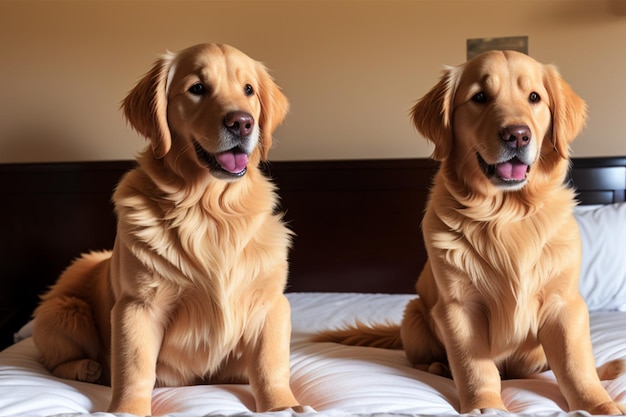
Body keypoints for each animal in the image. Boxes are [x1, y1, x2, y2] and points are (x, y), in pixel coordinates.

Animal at [32, 44, 302, 414]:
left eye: (248, 90)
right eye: (198, 88)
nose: (242, 122)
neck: (209, 211)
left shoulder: (270, 304)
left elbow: (269, 364)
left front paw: (283, 405)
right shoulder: (139, 306)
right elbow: (134, 367)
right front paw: (127, 410)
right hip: (64, 311)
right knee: (54, 360)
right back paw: (87, 368)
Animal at [316, 50, 624, 414]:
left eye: (534, 97)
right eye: (479, 97)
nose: (518, 135)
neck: (507, 215)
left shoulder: (564, 304)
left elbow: (576, 365)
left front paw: (599, 404)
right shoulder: (460, 307)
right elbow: (474, 367)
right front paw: (485, 405)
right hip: (414, 315)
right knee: (420, 359)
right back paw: (438, 366)